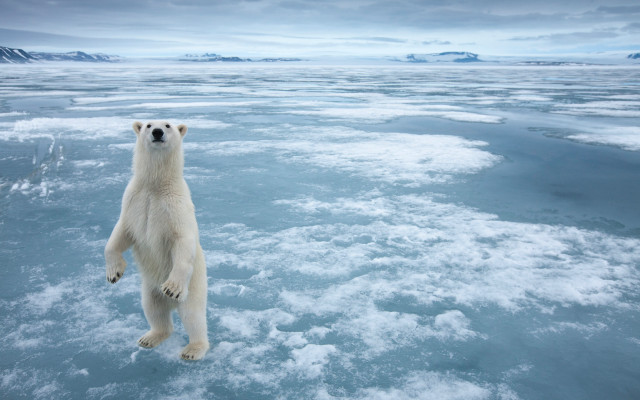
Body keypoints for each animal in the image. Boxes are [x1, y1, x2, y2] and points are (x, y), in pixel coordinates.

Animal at [104, 120, 209, 360]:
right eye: (148, 124)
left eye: (168, 125)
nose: (157, 132)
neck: (155, 185)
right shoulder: (133, 201)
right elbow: (120, 234)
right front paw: (114, 273)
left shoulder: (176, 207)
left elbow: (182, 241)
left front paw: (171, 287)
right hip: (149, 288)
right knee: (154, 310)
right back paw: (150, 337)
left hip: (194, 286)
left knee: (193, 315)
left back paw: (193, 349)